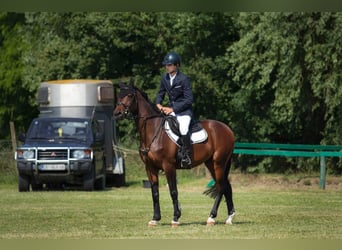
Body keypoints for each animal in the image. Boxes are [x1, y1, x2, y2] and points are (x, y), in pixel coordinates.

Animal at [112, 80, 235, 227]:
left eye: (130, 95)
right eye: (119, 95)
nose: (117, 113)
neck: (153, 132)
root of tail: (227, 129)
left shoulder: (168, 166)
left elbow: (173, 191)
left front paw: (176, 218)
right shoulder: (150, 168)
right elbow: (155, 193)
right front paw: (155, 218)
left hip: (218, 163)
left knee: (221, 186)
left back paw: (211, 217)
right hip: (211, 164)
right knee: (226, 186)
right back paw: (229, 218)